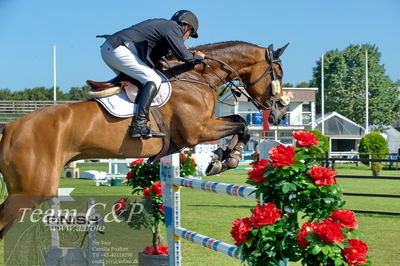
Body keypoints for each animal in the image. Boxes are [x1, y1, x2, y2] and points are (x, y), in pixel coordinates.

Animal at [0, 41, 288, 237]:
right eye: (279, 73)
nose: (280, 112)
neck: (197, 76)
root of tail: (10, 128)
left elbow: (240, 123)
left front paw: (220, 158)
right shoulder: (198, 130)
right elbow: (242, 124)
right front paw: (226, 160)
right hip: (32, 189)